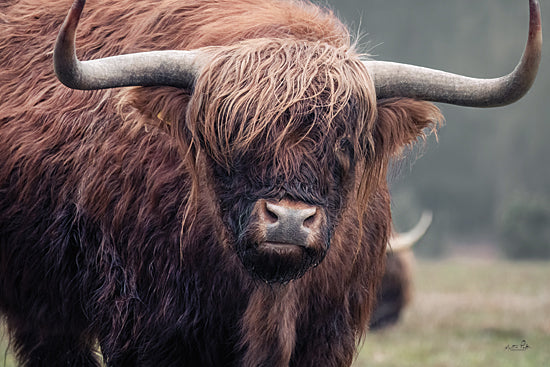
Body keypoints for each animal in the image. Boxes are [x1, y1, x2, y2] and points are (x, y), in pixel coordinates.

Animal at [0, 0, 544, 367]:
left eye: (344, 145)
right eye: (229, 140)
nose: (288, 220)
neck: (270, 298)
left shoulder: (327, 335)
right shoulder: (149, 329)